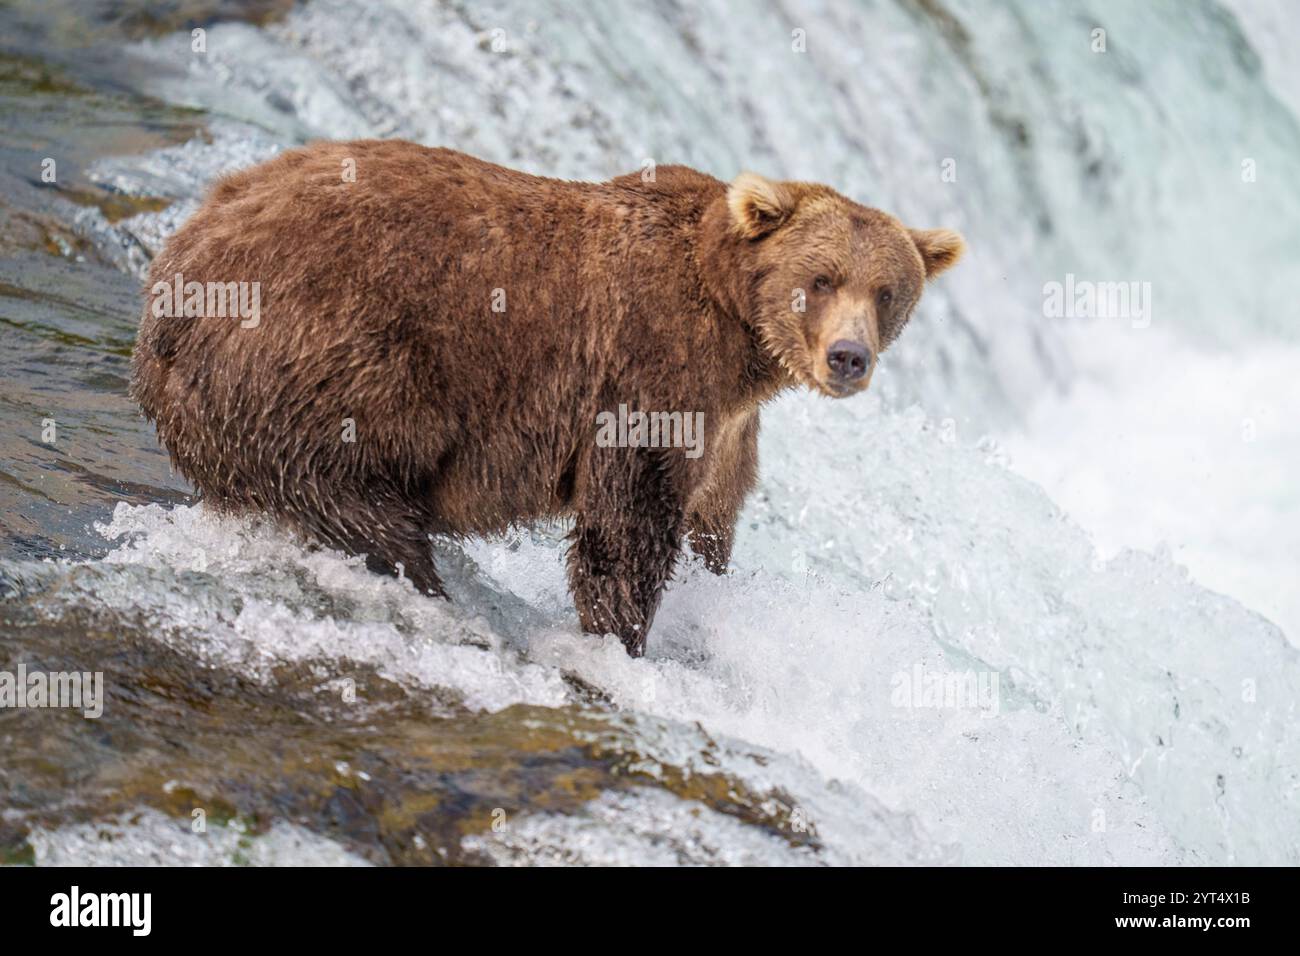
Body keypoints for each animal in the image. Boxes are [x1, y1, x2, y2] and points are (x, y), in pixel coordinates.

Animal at [131, 141, 964, 656]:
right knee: (361, 502)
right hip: (329, 363)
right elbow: (626, 526)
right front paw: (623, 639)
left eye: (886, 291)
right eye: (820, 278)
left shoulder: (730, 424)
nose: (848, 357)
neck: (742, 338)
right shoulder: (652, 366)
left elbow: (712, 518)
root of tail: (168, 279)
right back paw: (427, 587)